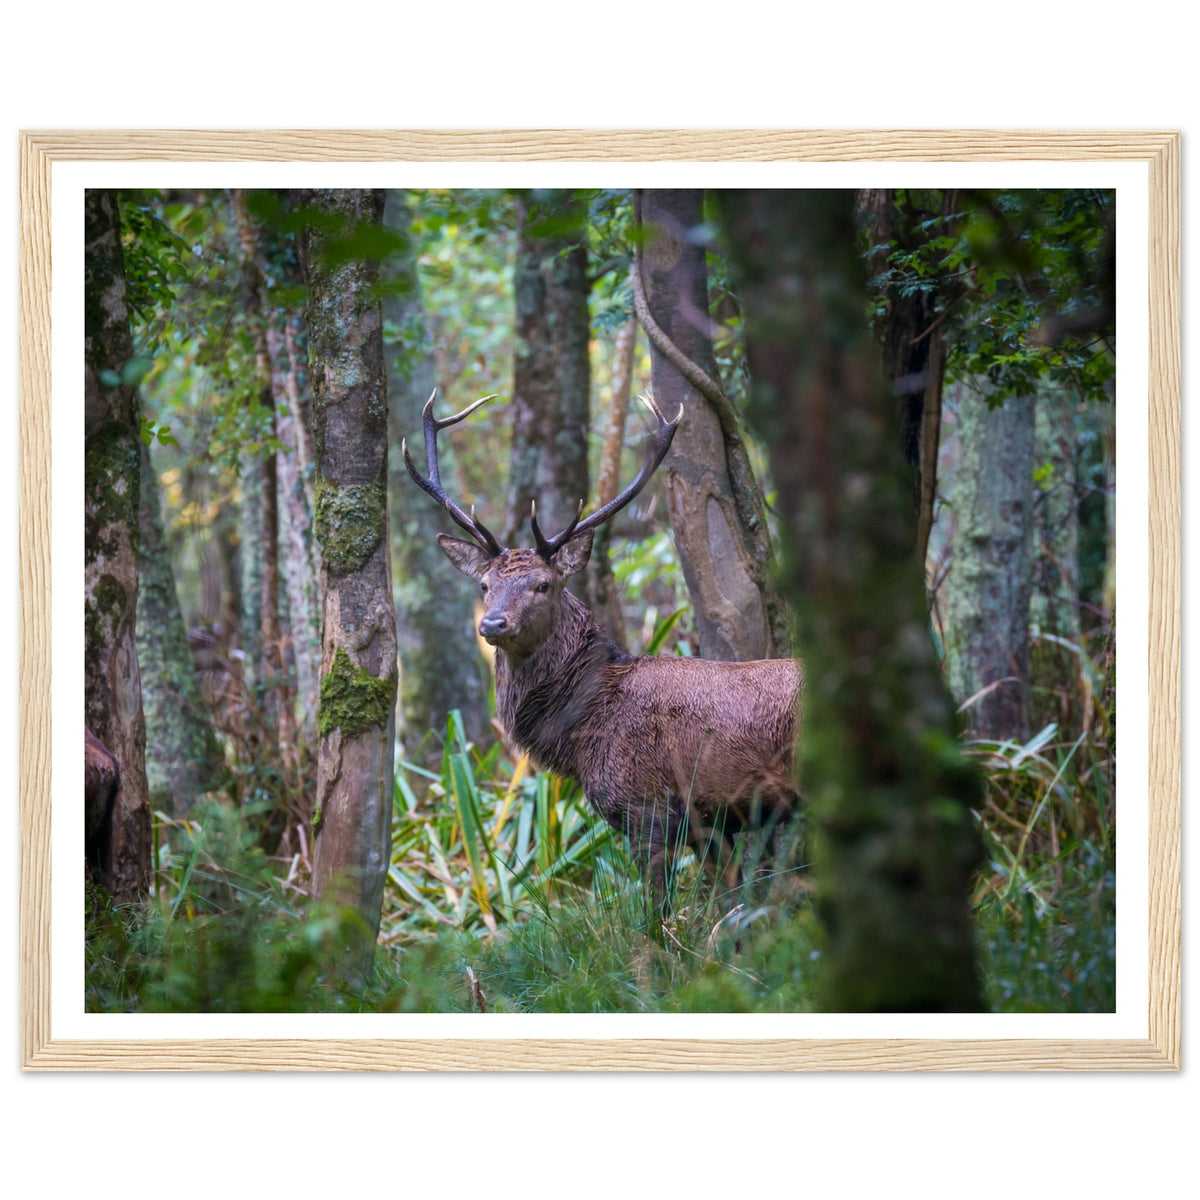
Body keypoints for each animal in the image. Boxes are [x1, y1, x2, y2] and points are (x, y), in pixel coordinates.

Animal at [403, 391, 803, 905]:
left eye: (543, 585)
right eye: (484, 585)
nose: (492, 622)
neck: (582, 732)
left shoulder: (646, 807)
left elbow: (657, 911)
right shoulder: (709, 824)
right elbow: (734, 903)